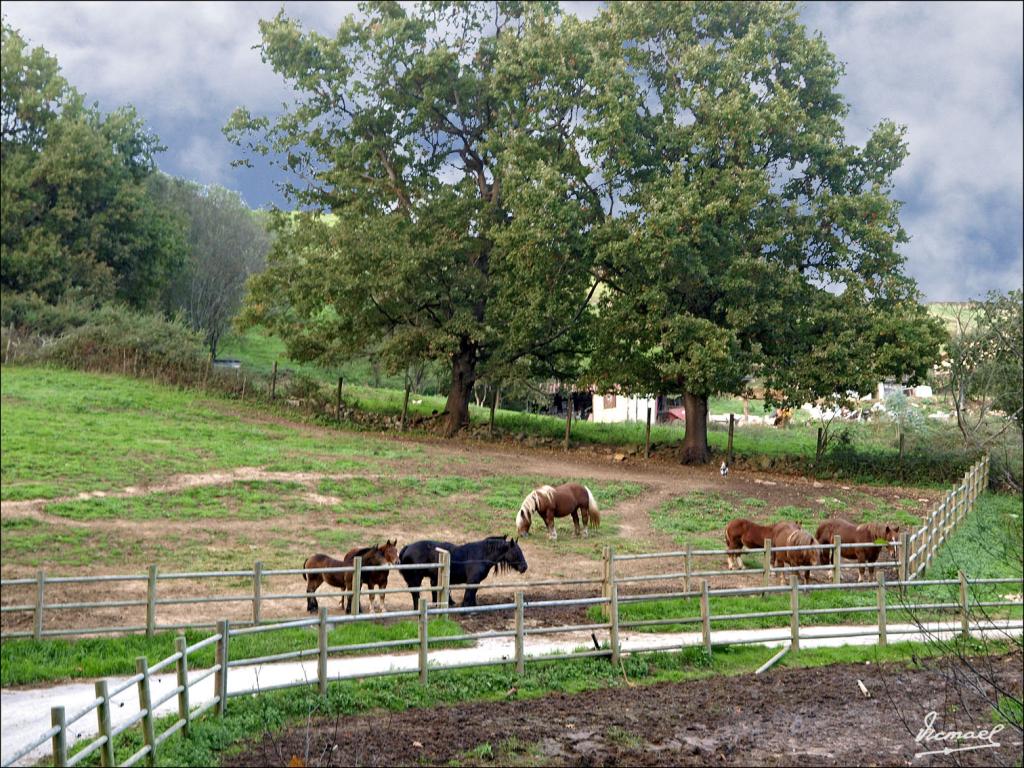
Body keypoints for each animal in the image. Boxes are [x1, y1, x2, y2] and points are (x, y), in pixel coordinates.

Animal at [397, 536, 528, 610]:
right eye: (516, 552)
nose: (524, 567)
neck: (481, 555)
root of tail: (407, 547)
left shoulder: (476, 581)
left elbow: (473, 593)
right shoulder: (472, 580)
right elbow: (469, 593)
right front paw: (466, 608)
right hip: (415, 579)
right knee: (415, 594)